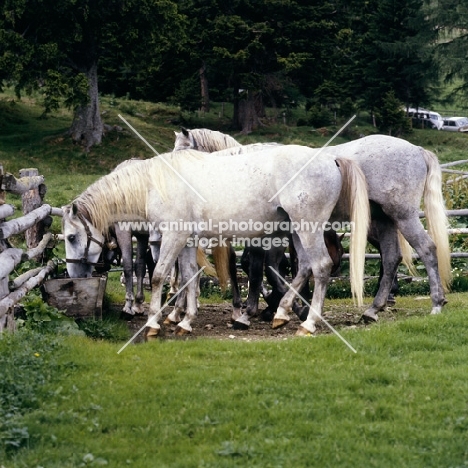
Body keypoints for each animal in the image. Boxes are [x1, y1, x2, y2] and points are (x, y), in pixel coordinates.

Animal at [63, 146, 370, 336]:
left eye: (71, 236)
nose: (74, 277)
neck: (154, 184)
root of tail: (331, 159)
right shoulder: (186, 240)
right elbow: (188, 276)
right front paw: (185, 321)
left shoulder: (173, 236)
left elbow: (159, 275)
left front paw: (153, 324)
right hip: (297, 230)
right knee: (305, 266)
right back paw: (281, 313)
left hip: (308, 229)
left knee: (321, 266)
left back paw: (308, 323)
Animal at [174, 130, 452, 324]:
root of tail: (416, 149)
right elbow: (278, 267)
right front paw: (279, 305)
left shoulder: (268, 235)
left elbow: (261, 267)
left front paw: (266, 307)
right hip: (383, 221)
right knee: (392, 258)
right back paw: (373, 309)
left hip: (403, 217)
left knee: (427, 250)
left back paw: (436, 303)